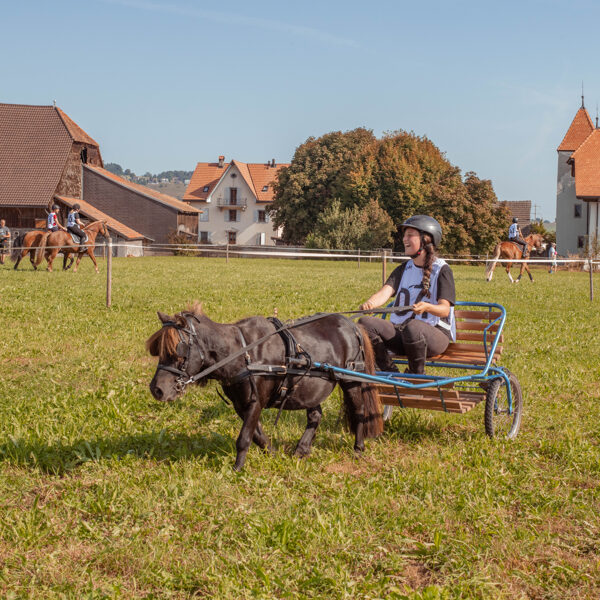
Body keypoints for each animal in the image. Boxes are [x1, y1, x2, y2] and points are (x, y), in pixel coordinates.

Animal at [146, 303, 383, 471]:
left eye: (179, 351)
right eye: (159, 350)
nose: (157, 389)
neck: (241, 353)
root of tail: (353, 325)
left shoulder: (255, 400)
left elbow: (244, 437)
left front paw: (237, 469)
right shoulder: (241, 404)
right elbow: (257, 435)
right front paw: (273, 453)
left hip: (351, 379)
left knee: (359, 411)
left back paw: (358, 448)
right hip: (311, 385)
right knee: (315, 415)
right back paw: (302, 449)